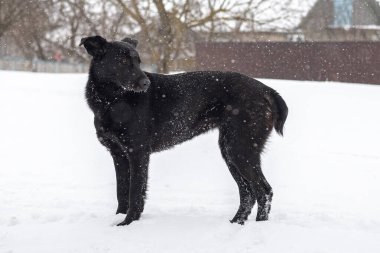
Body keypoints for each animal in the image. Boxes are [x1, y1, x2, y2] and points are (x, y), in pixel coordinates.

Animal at [80, 35, 288, 225]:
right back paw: (236, 222)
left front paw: (128, 222)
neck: (112, 101)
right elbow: (121, 192)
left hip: (241, 149)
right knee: (248, 193)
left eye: (138, 62)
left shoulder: (137, 153)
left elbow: (135, 192)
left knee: (263, 191)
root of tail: (265, 89)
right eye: (122, 61)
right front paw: (119, 218)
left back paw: (259, 224)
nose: (146, 83)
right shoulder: (118, 155)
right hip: (230, 151)